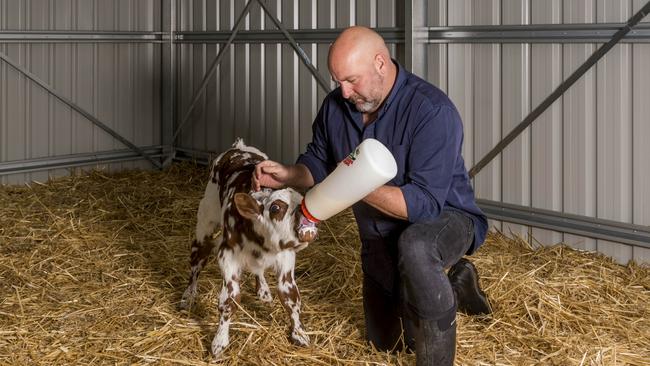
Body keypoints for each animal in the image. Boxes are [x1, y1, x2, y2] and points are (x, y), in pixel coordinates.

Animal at [180, 139, 316, 356]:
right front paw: (219, 342)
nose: (305, 224)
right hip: (205, 220)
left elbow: (290, 297)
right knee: (198, 256)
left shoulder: (286, 257)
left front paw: (299, 333)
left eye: (302, 202)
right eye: (276, 208)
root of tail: (239, 146)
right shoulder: (227, 255)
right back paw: (188, 295)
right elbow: (230, 300)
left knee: (258, 270)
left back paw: (263, 290)